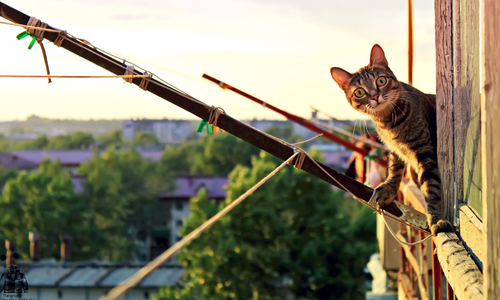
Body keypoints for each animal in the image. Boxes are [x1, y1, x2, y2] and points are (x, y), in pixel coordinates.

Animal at [330, 44, 456, 237]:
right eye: (359, 92)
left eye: (381, 81)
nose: (375, 96)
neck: (388, 123)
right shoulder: (395, 150)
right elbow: (395, 169)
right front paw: (389, 188)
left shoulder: (425, 152)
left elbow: (431, 188)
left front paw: (436, 219)